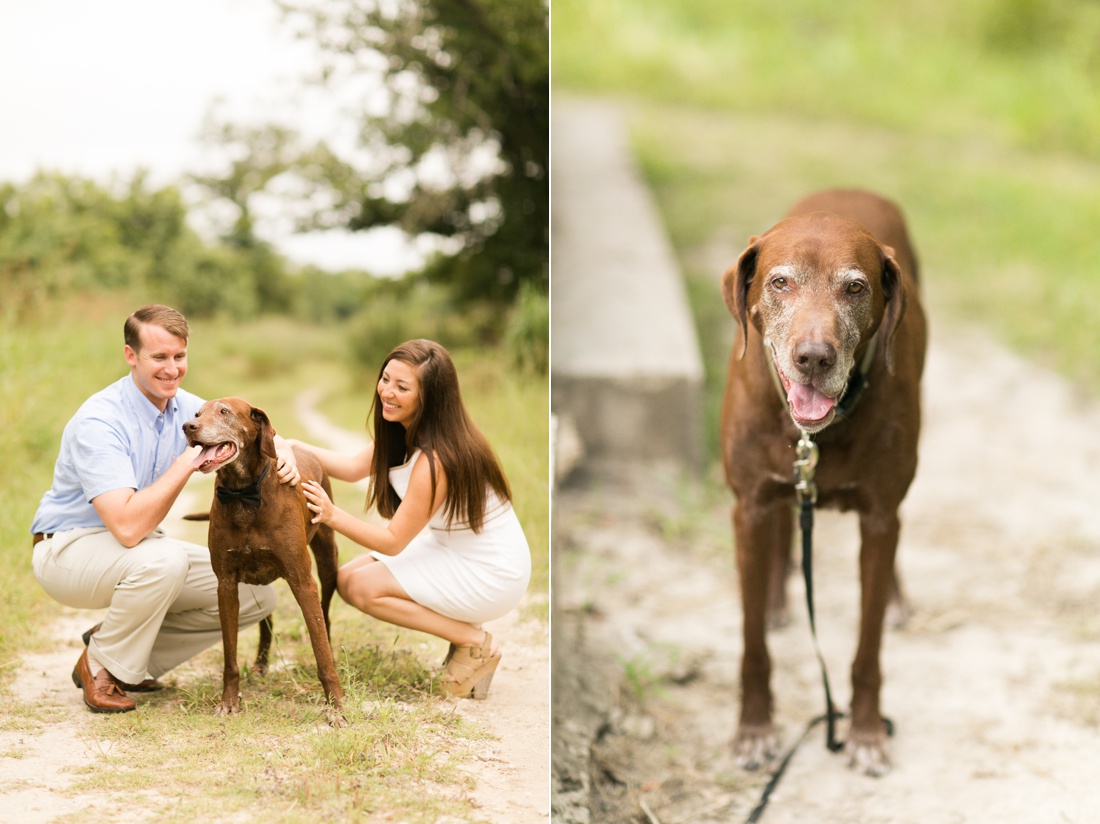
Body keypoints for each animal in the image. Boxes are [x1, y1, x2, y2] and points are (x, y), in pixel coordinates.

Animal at [182, 398, 343, 726]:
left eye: (224, 412)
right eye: (197, 414)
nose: (187, 427)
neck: (243, 493)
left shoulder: (303, 582)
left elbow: (321, 652)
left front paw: (336, 707)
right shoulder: (226, 585)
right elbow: (230, 658)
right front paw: (229, 702)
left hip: (327, 561)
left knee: (326, 617)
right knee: (266, 622)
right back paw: (260, 665)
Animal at [721, 189, 928, 774]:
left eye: (855, 287)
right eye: (779, 282)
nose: (814, 357)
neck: (816, 433)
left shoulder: (879, 518)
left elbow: (867, 648)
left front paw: (865, 731)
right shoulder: (747, 508)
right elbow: (751, 645)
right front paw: (754, 728)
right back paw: (776, 597)